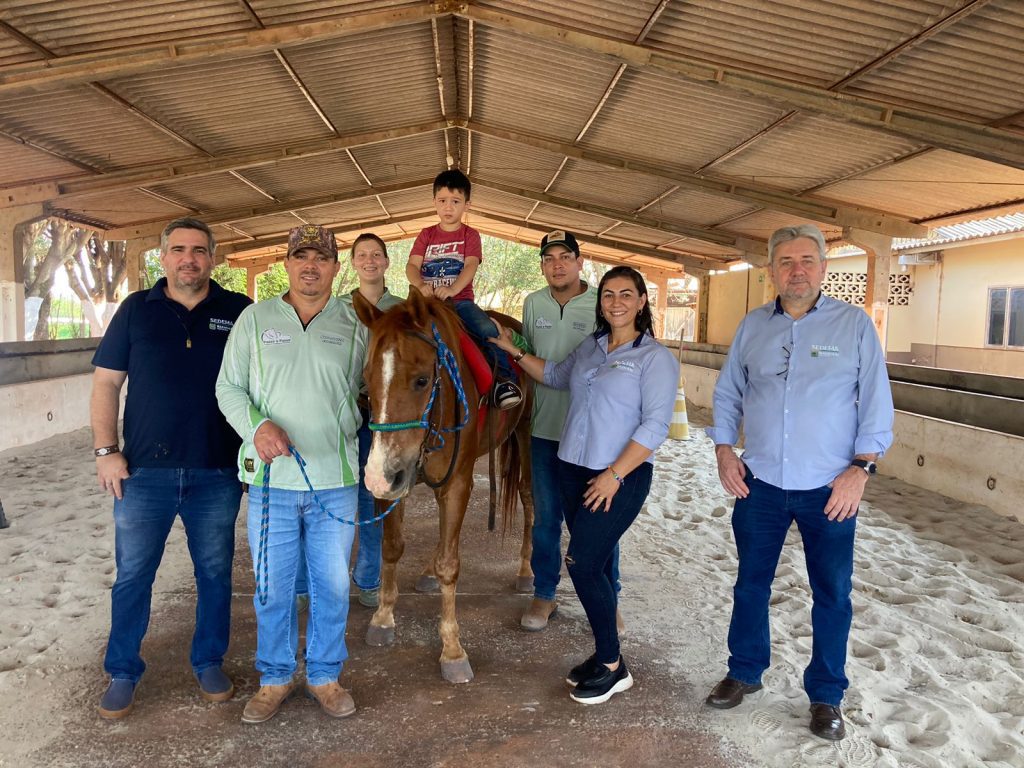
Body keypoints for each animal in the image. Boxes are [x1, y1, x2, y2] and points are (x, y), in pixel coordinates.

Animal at [352, 288, 535, 683]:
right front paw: (383, 618)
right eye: (367, 378)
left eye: (422, 380)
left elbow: (450, 564)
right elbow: (392, 547)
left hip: (527, 434)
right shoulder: (397, 481)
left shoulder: (457, 484)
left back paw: (527, 571)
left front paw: (452, 650)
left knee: (529, 498)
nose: (376, 476)